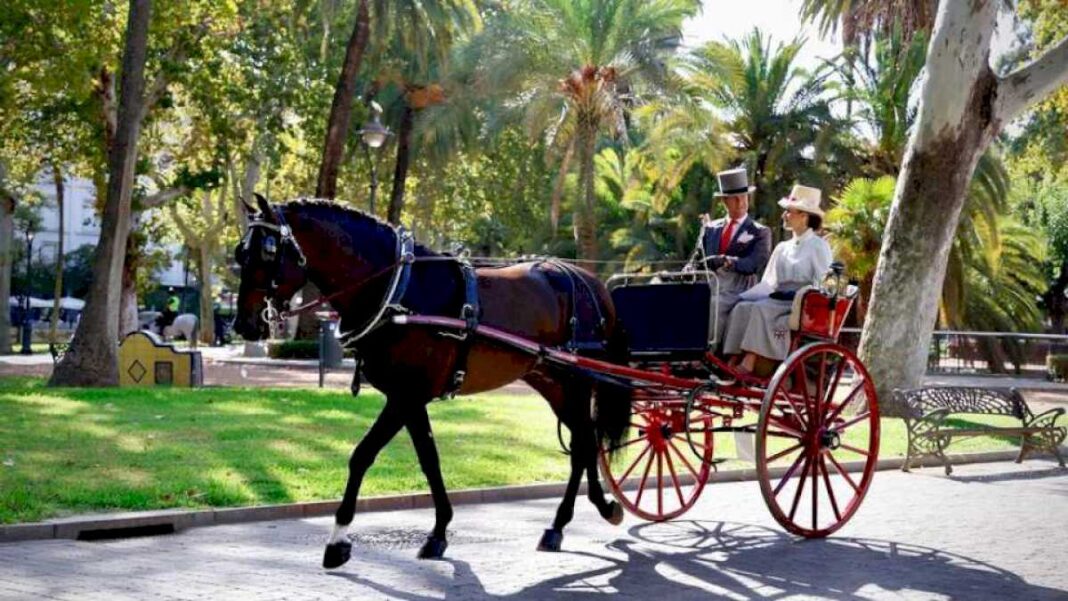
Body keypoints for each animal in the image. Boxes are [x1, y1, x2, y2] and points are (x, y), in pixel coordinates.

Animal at [231, 196, 632, 567]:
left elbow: (362, 455)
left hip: (576, 381)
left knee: (584, 442)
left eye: (268, 252)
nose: (243, 324)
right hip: (550, 380)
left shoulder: (405, 396)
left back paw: (574, 517)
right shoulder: (409, 399)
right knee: (584, 441)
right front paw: (438, 531)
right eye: (241, 252)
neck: (398, 288)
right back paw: (580, 515)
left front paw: (338, 539)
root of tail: (589, 281)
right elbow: (429, 460)